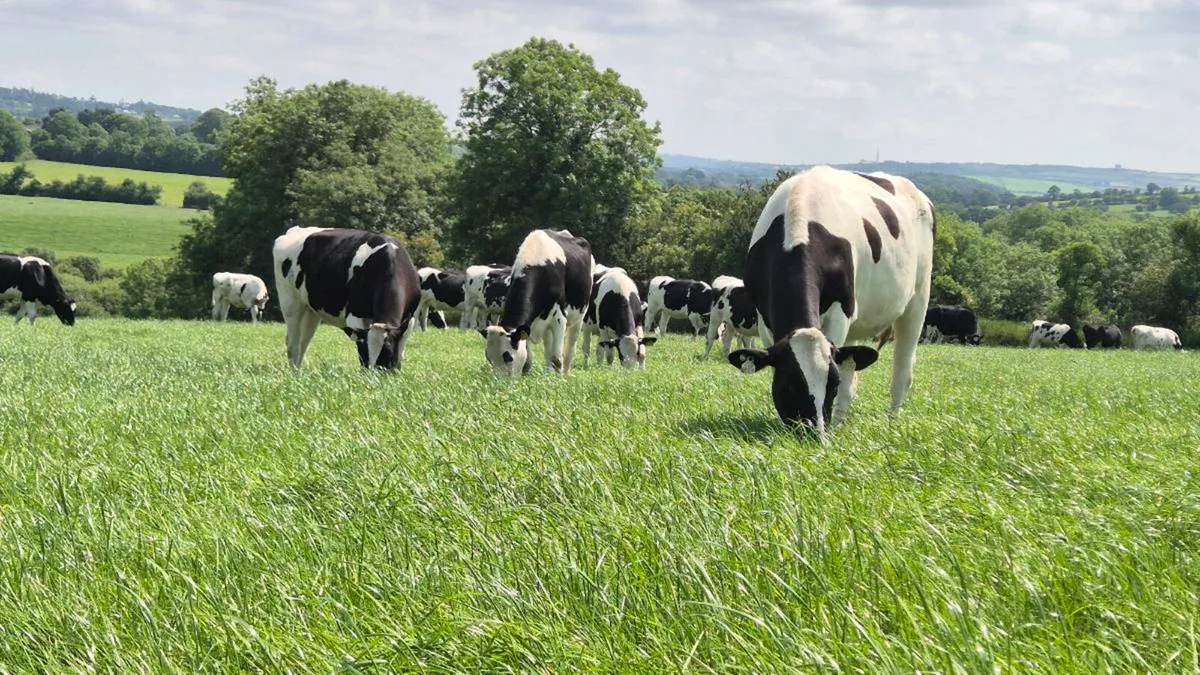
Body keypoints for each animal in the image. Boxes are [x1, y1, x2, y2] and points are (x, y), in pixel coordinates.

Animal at [272, 226, 421, 370]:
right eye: (364, 353)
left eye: (388, 353)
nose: (373, 375)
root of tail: (294, 230)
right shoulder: (355, 316)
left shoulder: (409, 319)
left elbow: (401, 349)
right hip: (290, 302)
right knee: (293, 343)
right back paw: (293, 371)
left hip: (310, 310)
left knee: (304, 341)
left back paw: (299, 371)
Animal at [479, 229, 593, 376]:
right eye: (489, 358)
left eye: (508, 357)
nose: (498, 381)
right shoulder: (527, 324)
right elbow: (528, 358)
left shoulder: (559, 318)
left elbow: (557, 358)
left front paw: (558, 379)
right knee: (548, 347)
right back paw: (548, 373)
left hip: (578, 317)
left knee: (570, 346)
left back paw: (566, 373)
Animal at [725, 165, 936, 438]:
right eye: (788, 385)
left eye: (831, 386)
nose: (815, 434)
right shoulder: (764, 318)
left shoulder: (840, 312)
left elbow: (844, 376)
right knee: (852, 369)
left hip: (918, 299)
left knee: (901, 370)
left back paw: (891, 423)